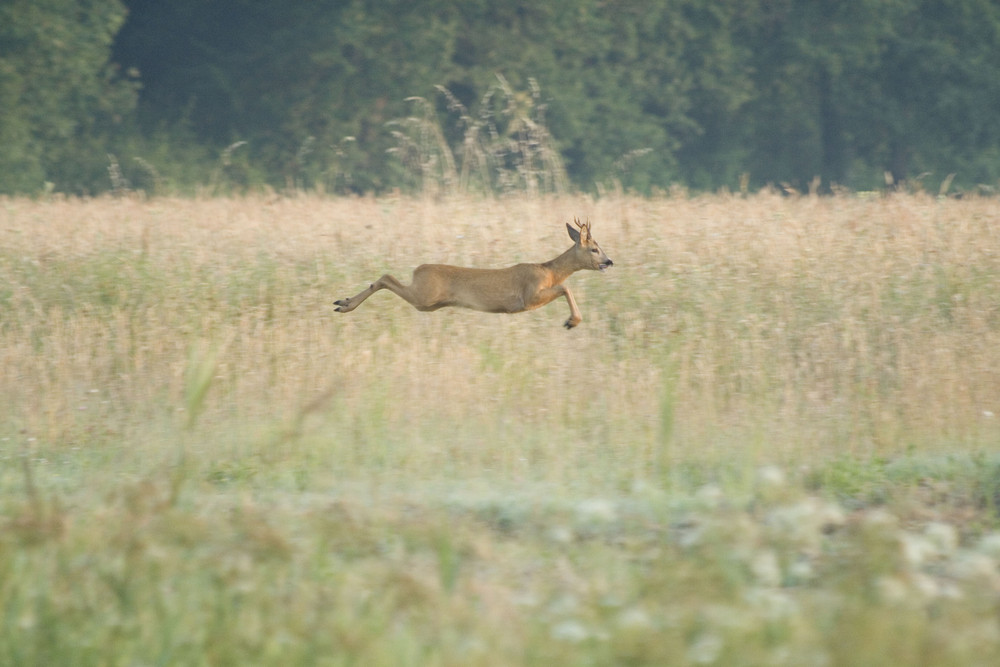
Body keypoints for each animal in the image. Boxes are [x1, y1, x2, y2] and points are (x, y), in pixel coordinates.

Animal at [334, 219, 608, 328]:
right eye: (594, 249)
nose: (609, 261)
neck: (549, 271)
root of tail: (418, 269)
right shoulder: (529, 297)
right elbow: (566, 287)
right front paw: (571, 322)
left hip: (428, 301)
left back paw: (342, 302)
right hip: (423, 295)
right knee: (386, 278)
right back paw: (344, 304)